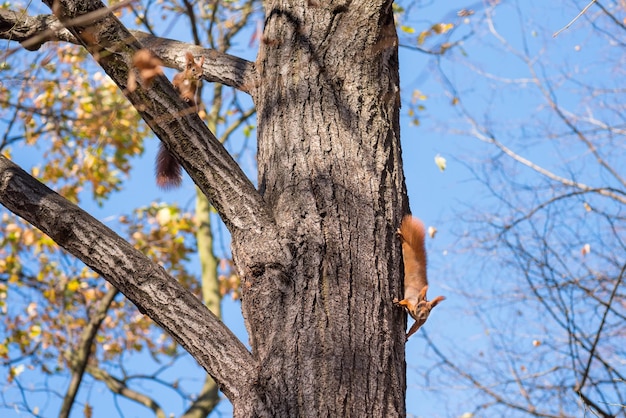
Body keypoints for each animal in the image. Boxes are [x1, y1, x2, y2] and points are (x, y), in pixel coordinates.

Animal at [155, 51, 204, 189]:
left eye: (202, 69)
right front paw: (175, 86)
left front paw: (186, 99)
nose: (201, 76)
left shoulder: (192, 90)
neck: (188, 80)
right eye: (193, 69)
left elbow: (189, 95)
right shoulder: (178, 77)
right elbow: (175, 81)